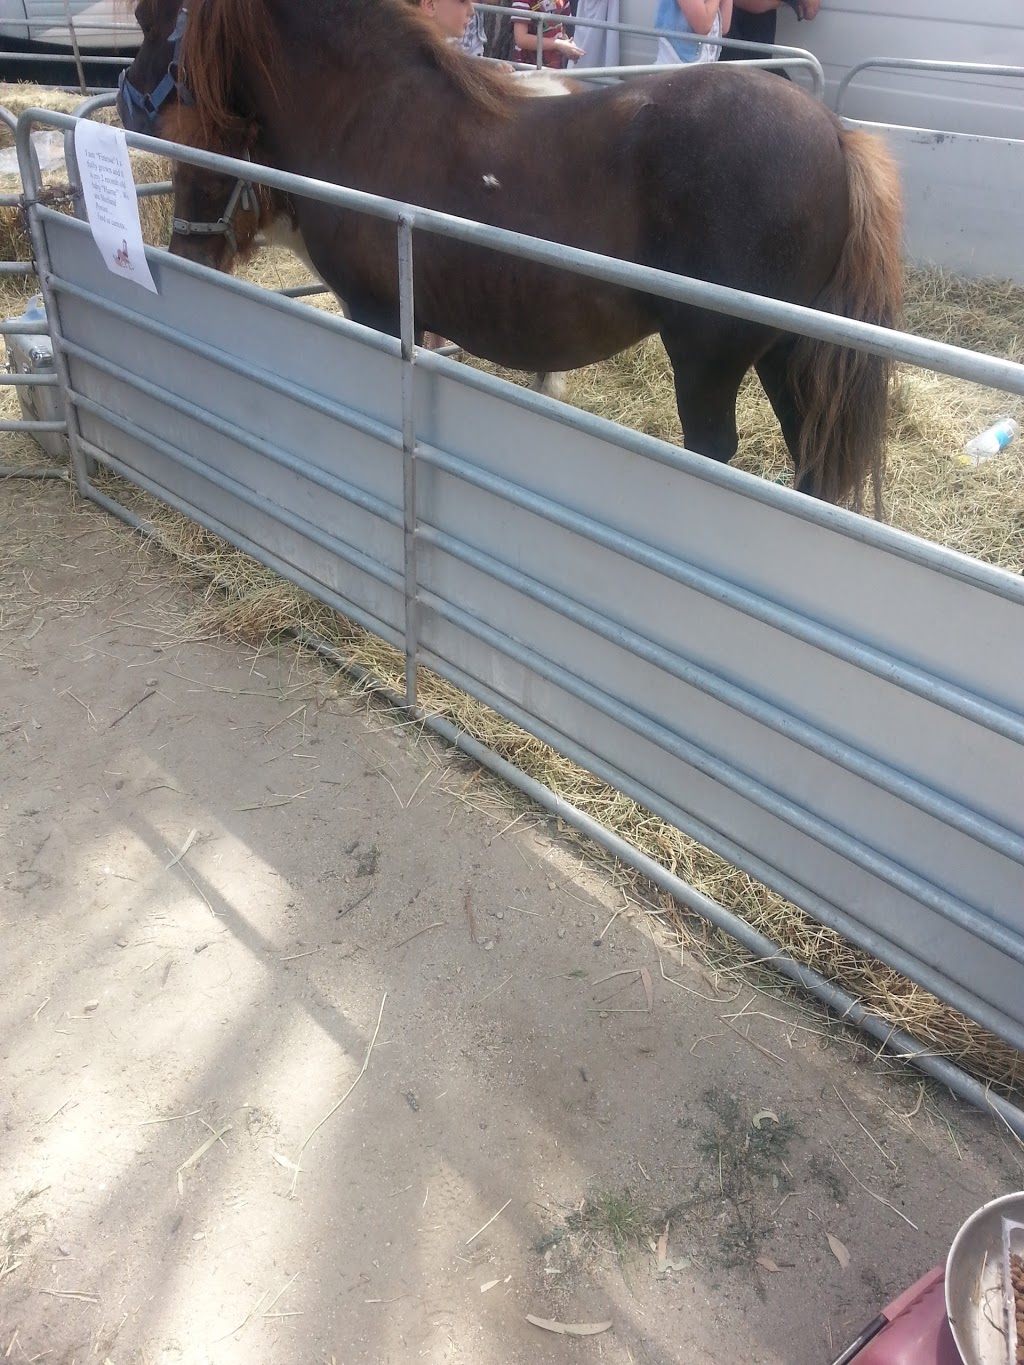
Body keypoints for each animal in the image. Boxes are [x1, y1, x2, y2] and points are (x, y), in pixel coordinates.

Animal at [122, 0, 906, 507]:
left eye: (152, 19)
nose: (129, 94)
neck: (365, 111)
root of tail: (836, 133)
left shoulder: (376, 311)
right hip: (787, 357)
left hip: (710, 364)